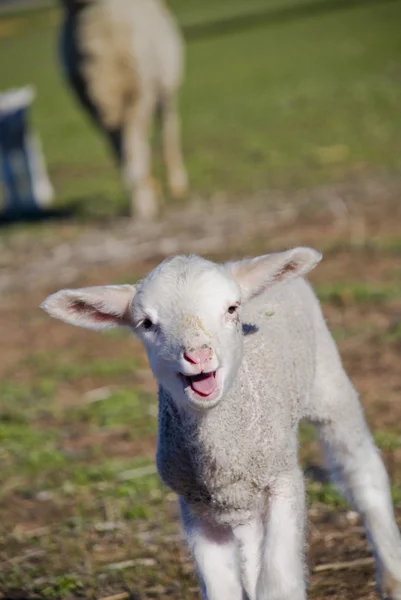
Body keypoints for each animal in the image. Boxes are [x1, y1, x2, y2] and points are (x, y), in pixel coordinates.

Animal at [40, 248, 400, 600]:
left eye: (231, 309)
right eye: (146, 323)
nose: (198, 355)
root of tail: (241, 259)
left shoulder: (282, 480)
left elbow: (278, 586)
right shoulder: (196, 506)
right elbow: (223, 589)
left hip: (328, 381)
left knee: (360, 470)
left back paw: (390, 575)